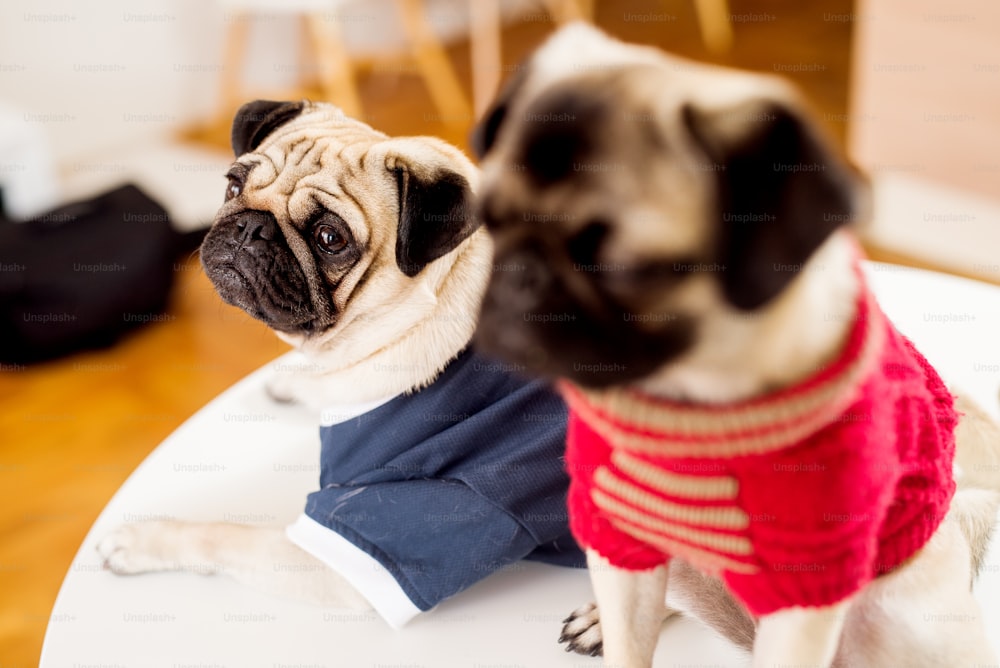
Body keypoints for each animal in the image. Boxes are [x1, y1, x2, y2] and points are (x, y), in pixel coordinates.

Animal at [96, 98, 584, 628]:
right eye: (233, 186)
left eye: (330, 238)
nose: (251, 227)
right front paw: (290, 381)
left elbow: (221, 535)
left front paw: (140, 540)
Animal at [470, 23, 1000, 668]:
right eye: (487, 219)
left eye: (628, 271)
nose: (522, 275)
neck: (691, 399)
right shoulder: (618, 531)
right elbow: (628, 641)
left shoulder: (807, 594)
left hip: (907, 610)